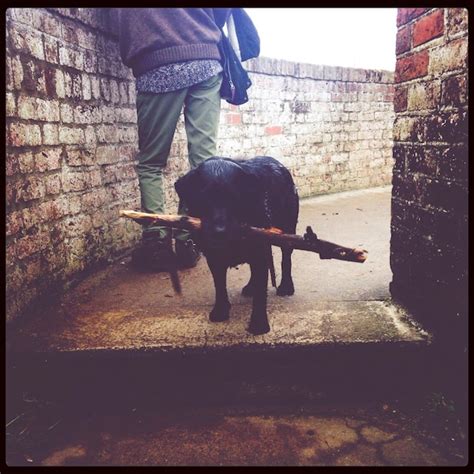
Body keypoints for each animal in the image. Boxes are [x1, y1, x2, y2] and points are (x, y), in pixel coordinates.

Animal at [176, 156, 298, 334]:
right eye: (204, 199)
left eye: (235, 198)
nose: (219, 231)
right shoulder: (214, 257)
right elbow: (220, 285)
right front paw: (220, 310)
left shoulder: (259, 250)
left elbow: (261, 292)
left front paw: (259, 323)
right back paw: (251, 287)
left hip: (287, 229)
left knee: (286, 259)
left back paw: (286, 286)